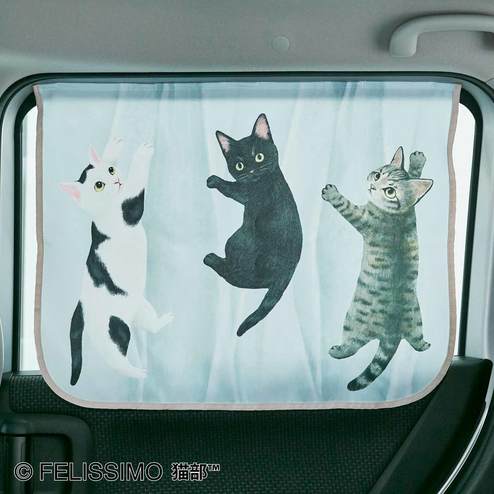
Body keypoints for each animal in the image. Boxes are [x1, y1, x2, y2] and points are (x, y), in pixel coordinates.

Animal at [61, 138, 173, 385]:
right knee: (116, 361)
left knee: (151, 326)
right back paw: (137, 373)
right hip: (115, 329)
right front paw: (141, 155)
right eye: (99, 185)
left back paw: (163, 321)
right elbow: (135, 183)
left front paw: (112, 148)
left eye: (111, 170)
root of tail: (80, 308)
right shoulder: (128, 208)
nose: (116, 180)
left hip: (141, 307)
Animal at [204, 113, 303, 336]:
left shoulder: (248, 193)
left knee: (238, 277)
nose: (251, 170)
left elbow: (231, 188)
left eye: (259, 157)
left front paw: (214, 180)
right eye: (239, 165)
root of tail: (287, 272)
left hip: (236, 240)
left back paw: (212, 259)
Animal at [322, 147, 432, 391]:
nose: (373, 186)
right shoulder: (413, 209)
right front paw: (416, 162)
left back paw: (338, 351)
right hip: (417, 321)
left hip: (353, 320)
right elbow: (414, 183)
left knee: (352, 346)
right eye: (378, 174)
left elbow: (346, 207)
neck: (398, 214)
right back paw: (425, 345)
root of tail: (392, 334)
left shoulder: (364, 219)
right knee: (416, 341)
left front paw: (333, 194)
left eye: (390, 191)